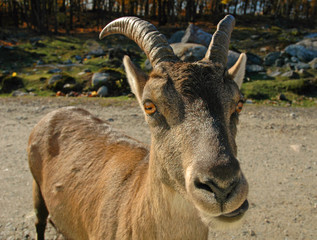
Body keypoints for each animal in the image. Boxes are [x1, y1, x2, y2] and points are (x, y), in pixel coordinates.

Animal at [27, 15, 247, 240]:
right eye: (149, 106)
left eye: (239, 103)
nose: (222, 185)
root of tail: (55, 113)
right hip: (36, 188)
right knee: (39, 221)